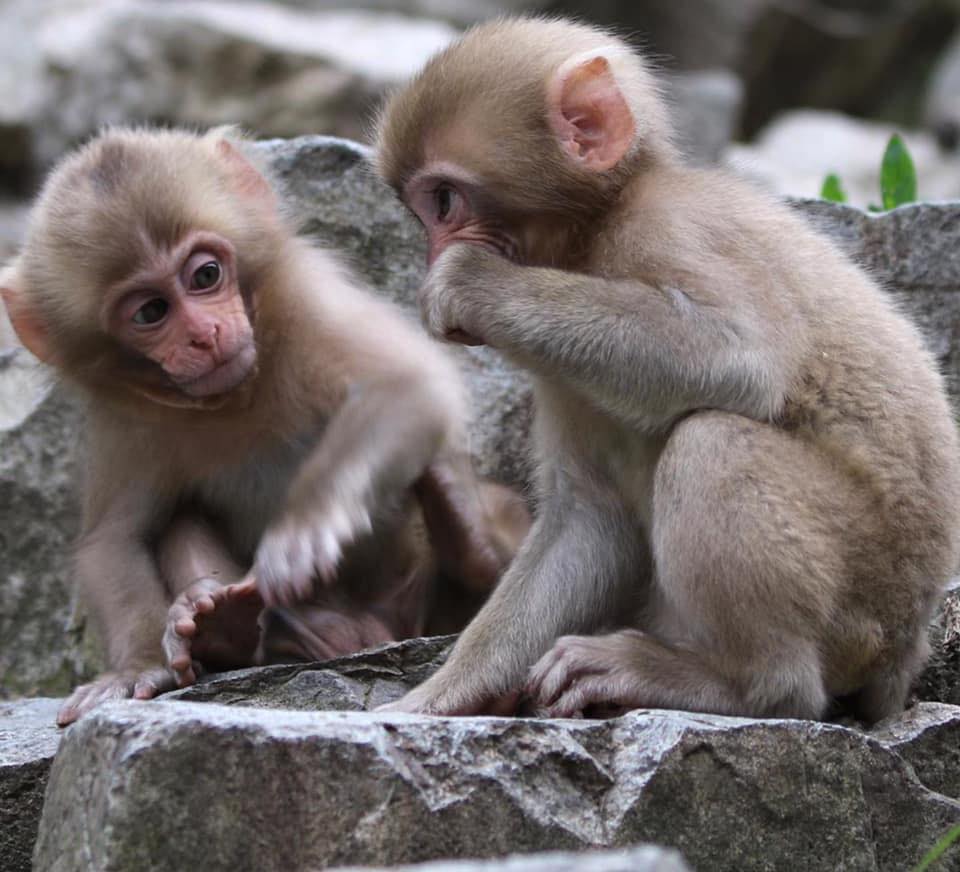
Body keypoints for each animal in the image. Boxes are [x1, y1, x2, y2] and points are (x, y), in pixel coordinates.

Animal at [0, 126, 529, 726]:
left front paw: (306, 528)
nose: (204, 335)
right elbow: (115, 538)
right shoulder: (125, 416)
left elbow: (407, 384)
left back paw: (469, 539)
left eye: (205, 275)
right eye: (151, 311)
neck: (239, 393)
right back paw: (240, 626)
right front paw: (135, 667)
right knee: (181, 517)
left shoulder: (309, 300)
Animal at [372, 17, 960, 722]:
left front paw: (472, 283)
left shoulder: (669, 229)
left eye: (443, 200)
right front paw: (444, 695)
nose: (434, 256)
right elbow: (590, 520)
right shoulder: (559, 377)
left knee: (714, 441)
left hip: (864, 601)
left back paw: (740, 685)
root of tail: (906, 653)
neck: (598, 229)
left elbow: (739, 358)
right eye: (423, 212)